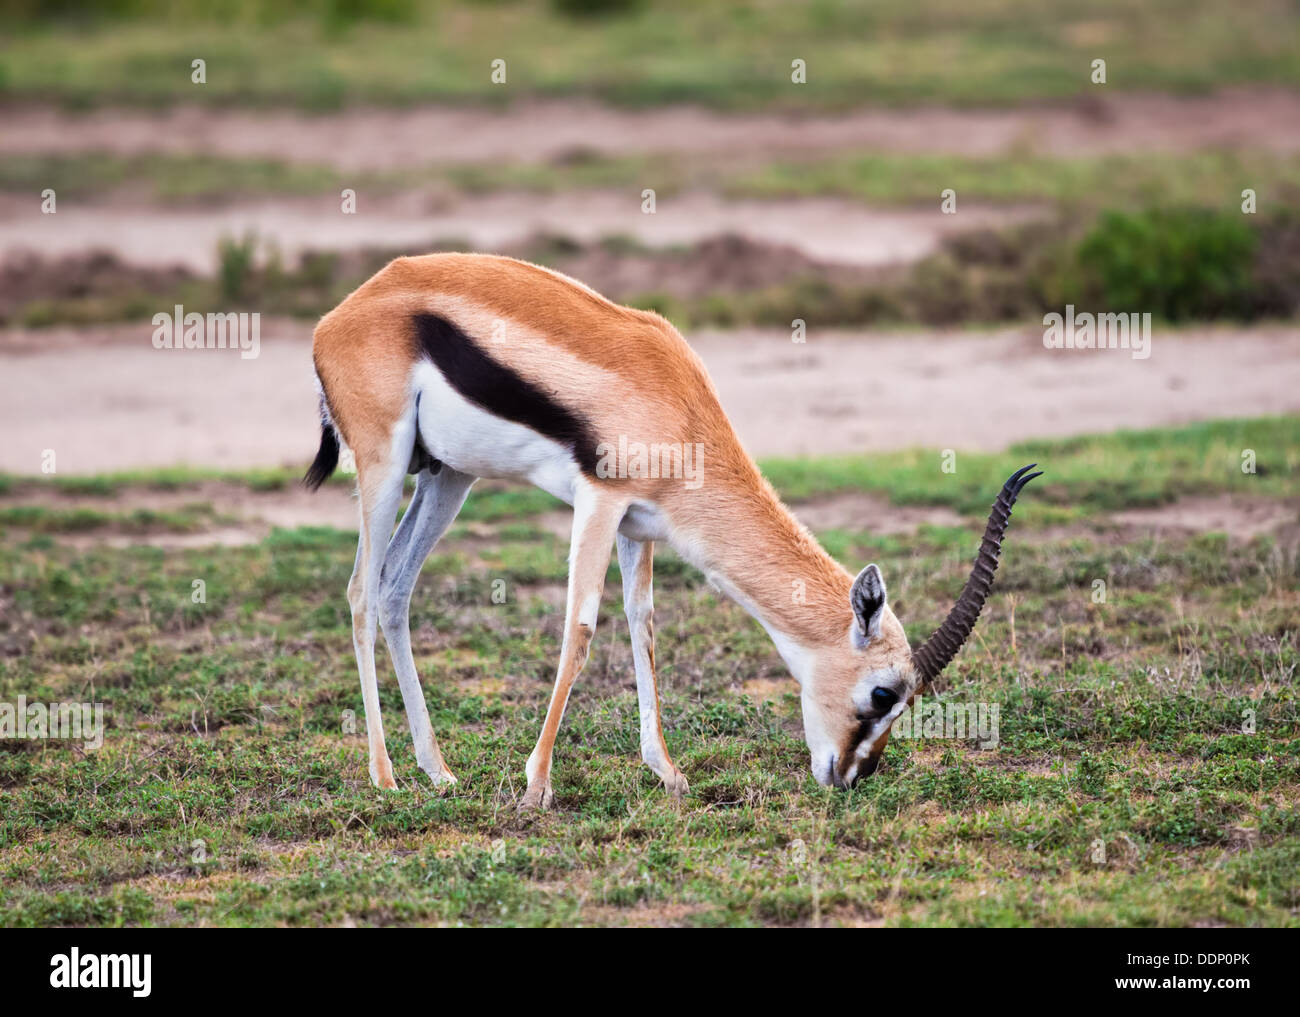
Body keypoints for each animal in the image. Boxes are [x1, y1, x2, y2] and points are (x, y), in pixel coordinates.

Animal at [305, 253, 1040, 809]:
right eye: (883, 692)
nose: (852, 775)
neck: (678, 404)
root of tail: (338, 316)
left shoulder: (640, 524)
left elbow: (643, 623)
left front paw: (667, 771)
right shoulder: (599, 501)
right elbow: (581, 627)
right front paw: (537, 786)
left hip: (449, 476)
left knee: (396, 590)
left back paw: (437, 770)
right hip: (384, 465)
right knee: (361, 592)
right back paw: (385, 777)